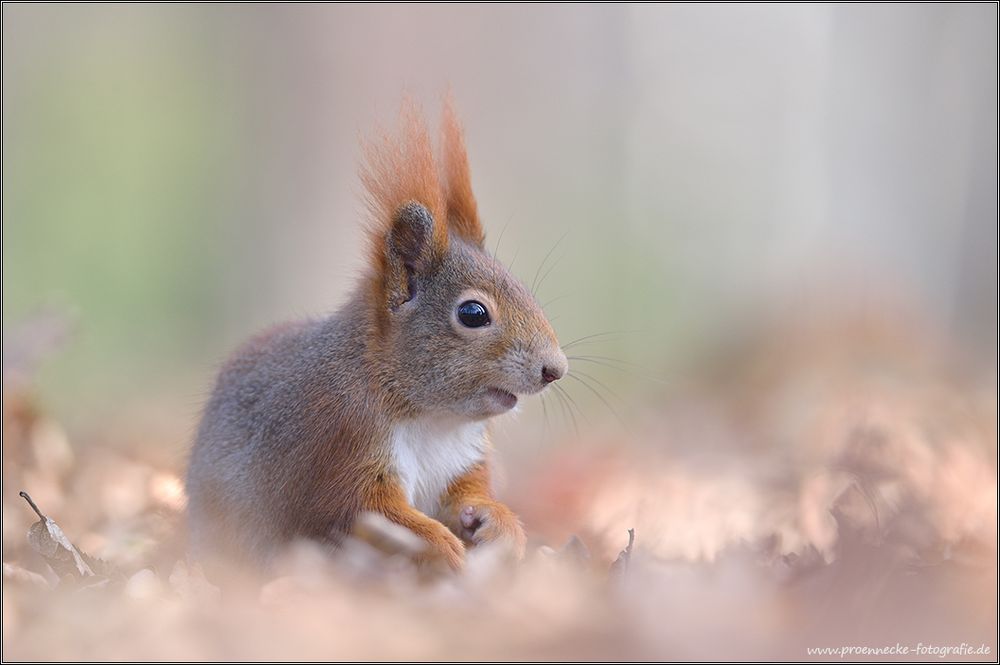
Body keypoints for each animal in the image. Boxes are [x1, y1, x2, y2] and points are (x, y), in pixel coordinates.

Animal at [184, 100, 568, 572]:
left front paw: (496, 524)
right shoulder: (338, 441)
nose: (555, 369)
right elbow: (362, 509)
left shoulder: (464, 461)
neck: (431, 418)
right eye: (473, 313)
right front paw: (442, 548)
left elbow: (468, 494)